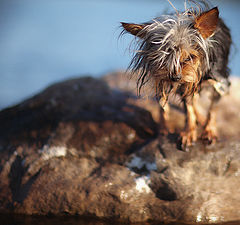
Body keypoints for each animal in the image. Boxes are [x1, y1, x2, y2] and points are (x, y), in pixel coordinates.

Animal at [121, 0, 232, 151]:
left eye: (190, 57)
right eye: (161, 59)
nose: (175, 78)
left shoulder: (220, 82)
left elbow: (213, 109)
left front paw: (209, 131)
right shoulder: (184, 84)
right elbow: (188, 109)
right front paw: (188, 133)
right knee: (164, 105)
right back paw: (164, 128)